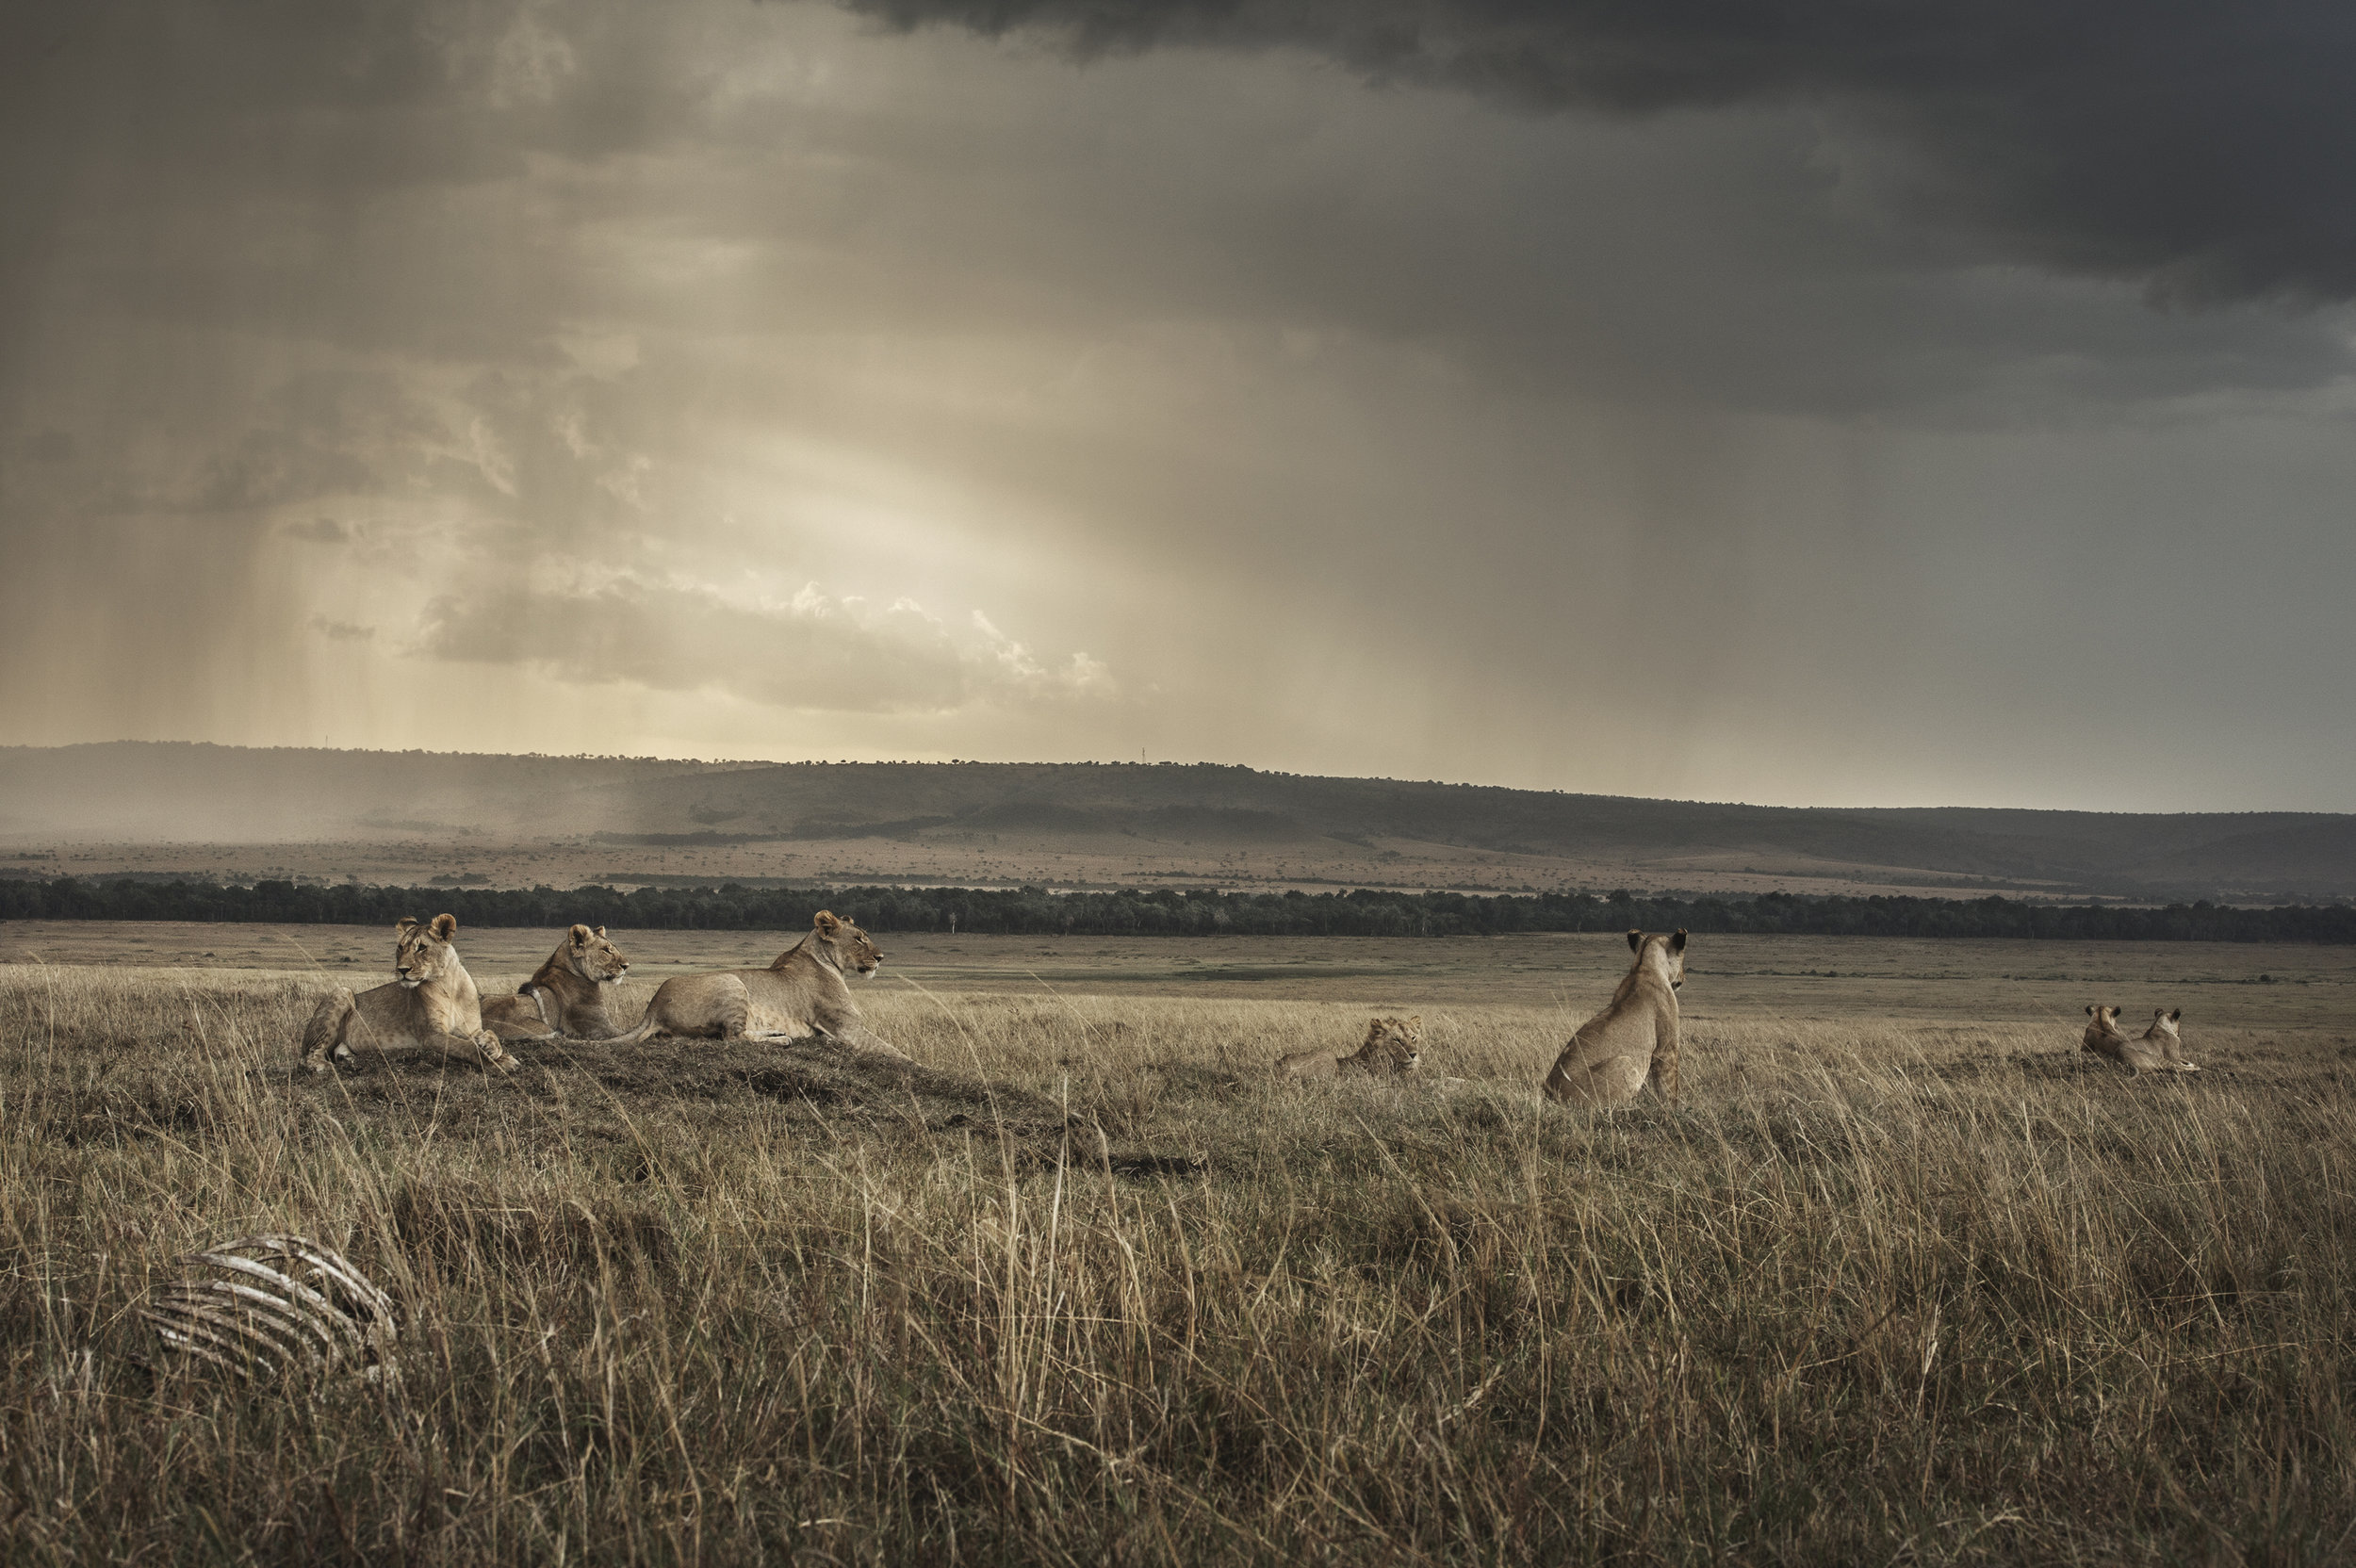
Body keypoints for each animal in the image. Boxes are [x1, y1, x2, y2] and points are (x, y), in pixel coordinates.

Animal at [297, 908, 518, 1069]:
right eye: (400, 947)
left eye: (421, 948)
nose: (402, 970)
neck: (450, 985)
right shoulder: (432, 1034)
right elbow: (467, 1047)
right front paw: (497, 1062)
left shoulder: (471, 1028)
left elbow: (490, 1033)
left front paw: (494, 1049)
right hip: (343, 992)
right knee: (308, 1056)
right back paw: (323, 1066)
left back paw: (350, 1060)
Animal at [594, 908, 905, 1054]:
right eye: (859, 938)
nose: (881, 957)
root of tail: (652, 1008)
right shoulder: (847, 1028)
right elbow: (897, 1054)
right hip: (732, 981)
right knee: (733, 1037)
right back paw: (783, 1040)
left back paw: (777, 1032)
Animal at [1536, 923, 1687, 1106]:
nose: (1683, 977)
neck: (1644, 966)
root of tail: (1551, 1093)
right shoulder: (1666, 1049)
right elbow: (1669, 1090)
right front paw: (1674, 1109)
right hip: (1626, 1061)